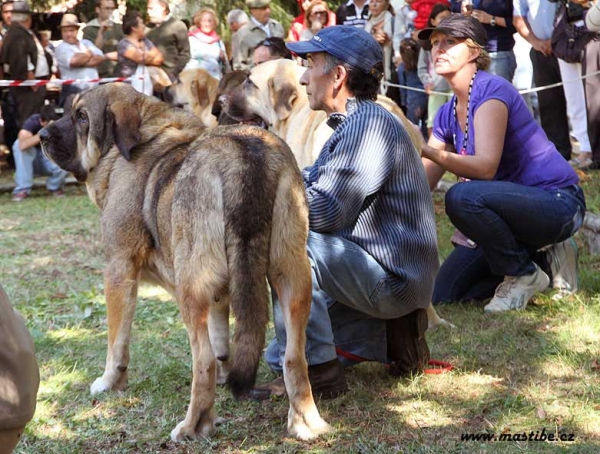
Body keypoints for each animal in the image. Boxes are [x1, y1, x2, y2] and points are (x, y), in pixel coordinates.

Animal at [39, 83, 332, 442]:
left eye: (82, 117)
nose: (41, 135)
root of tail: (243, 153)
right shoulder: (219, 294)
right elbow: (222, 342)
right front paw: (226, 374)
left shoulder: (119, 270)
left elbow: (116, 342)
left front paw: (109, 382)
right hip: (293, 277)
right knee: (294, 356)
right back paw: (306, 422)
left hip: (189, 288)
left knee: (202, 361)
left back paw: (194, 426)